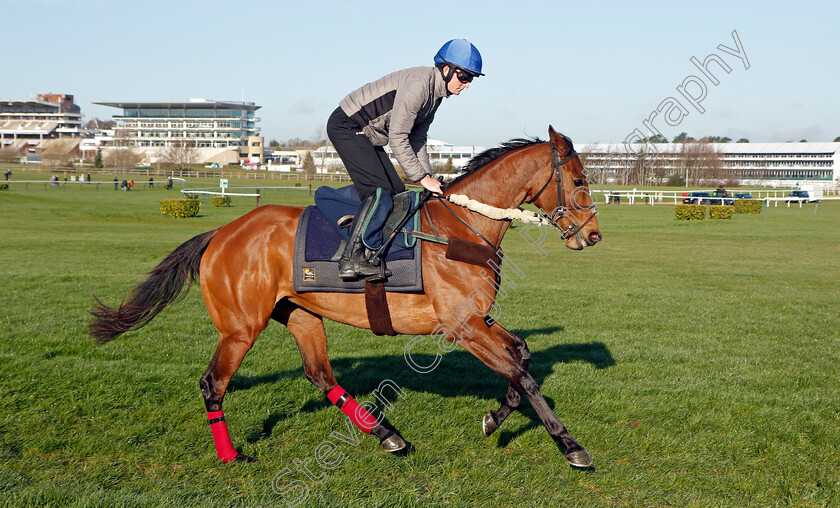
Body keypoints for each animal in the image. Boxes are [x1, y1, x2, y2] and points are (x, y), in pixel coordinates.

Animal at [90, 126, 604, 468]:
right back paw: (232, 455)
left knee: (319, 374)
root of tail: (220, 233)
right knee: (213, 384)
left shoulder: (477, 320)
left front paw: (495, 418)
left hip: (300, 314)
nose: (593, 236)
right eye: (580, 181)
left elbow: (522, 356)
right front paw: (570, 446)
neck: (462, 228)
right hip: (240, 328)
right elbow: (524, 376)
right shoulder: (462, 326)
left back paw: (386, 434)